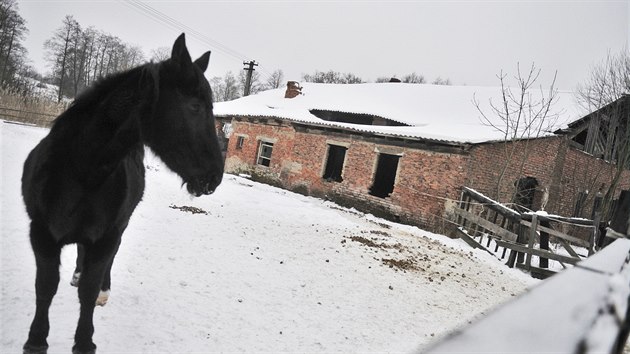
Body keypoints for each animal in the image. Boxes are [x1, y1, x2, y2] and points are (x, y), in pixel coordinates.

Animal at [21, 34, 225, 354]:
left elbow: (88, 291)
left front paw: (84, 341)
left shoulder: (106, 237)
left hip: (119, 227)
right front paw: (36, 340)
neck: (80, 170)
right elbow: (45, 287)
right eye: (195, 106)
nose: (215, 176)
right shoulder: (41, 234)